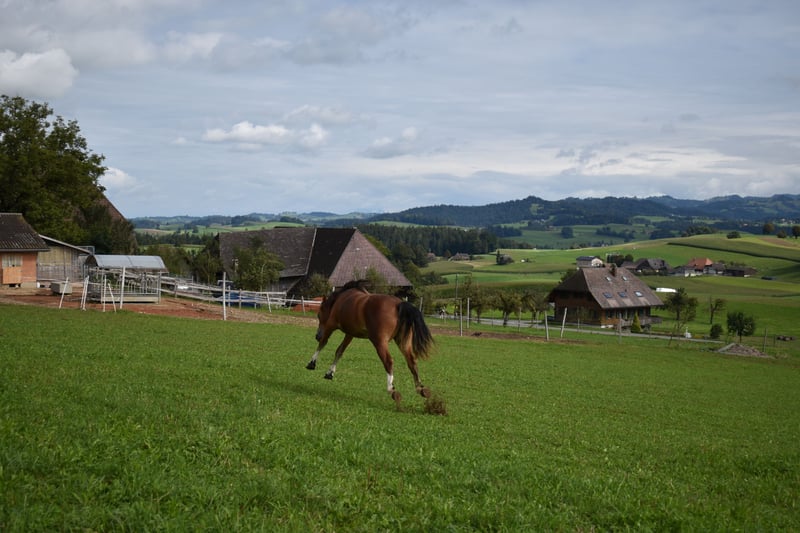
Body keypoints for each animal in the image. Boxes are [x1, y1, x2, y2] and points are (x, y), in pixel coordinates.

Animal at [306, 280, 434, 404]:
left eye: (319, 315)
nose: (317, 335)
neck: (342, 298)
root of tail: (399, 304)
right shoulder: (350, 334)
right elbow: (339, 351)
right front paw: (330, 373)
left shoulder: (331, 325)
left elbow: (323, 343)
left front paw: (312, 363)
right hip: (403, 341)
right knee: (412, 361)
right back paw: (421, 388)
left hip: (379, 342)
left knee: (388, 361)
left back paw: (391, 389)